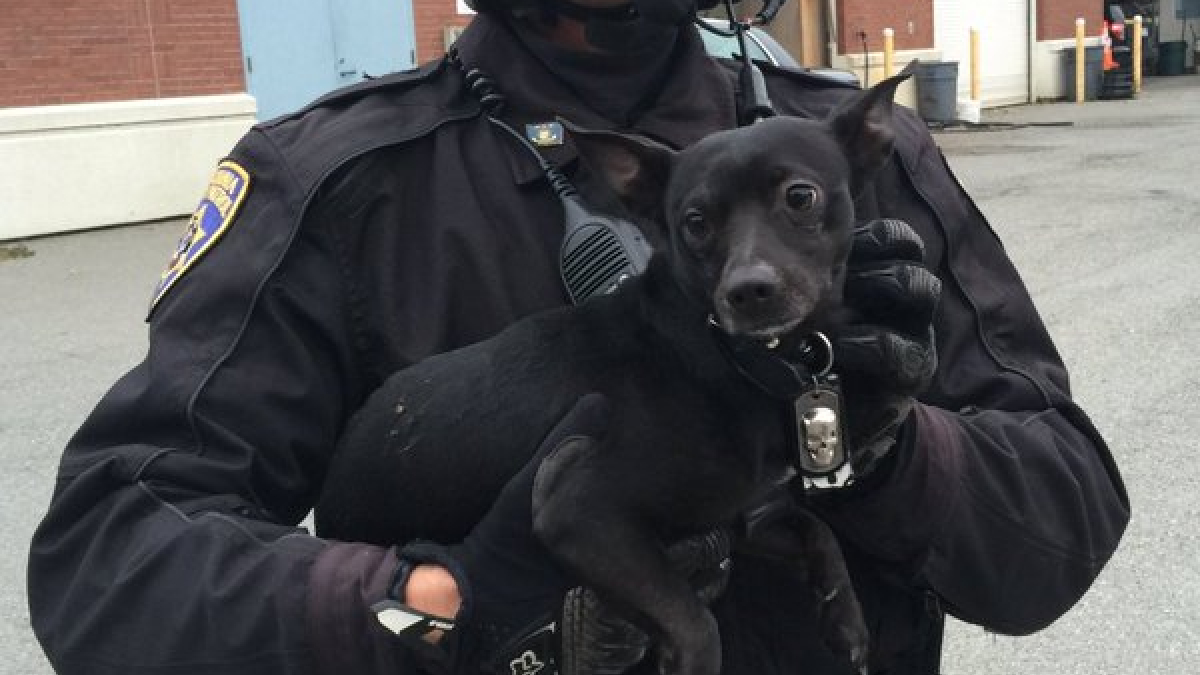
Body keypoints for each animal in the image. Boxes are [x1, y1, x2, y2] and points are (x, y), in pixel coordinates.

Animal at [314, 73, 902, 672]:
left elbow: (817, 528)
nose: (748, 291)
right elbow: (696, 623)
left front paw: (843, 613)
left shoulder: (735, 517)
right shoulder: (578, 511)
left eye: (800, 196)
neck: (721, 351)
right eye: (695, 224)